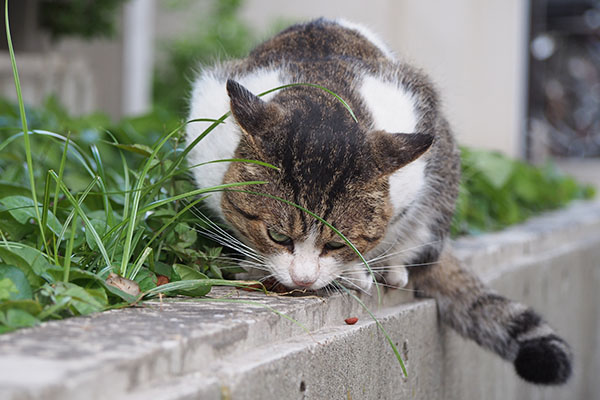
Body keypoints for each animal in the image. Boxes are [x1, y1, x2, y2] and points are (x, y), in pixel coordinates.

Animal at [186, 18, 572, 384]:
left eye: (336, 243)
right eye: (277, 236)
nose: (303, 280)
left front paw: (357, 269)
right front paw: (255, 262)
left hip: (443, 174)